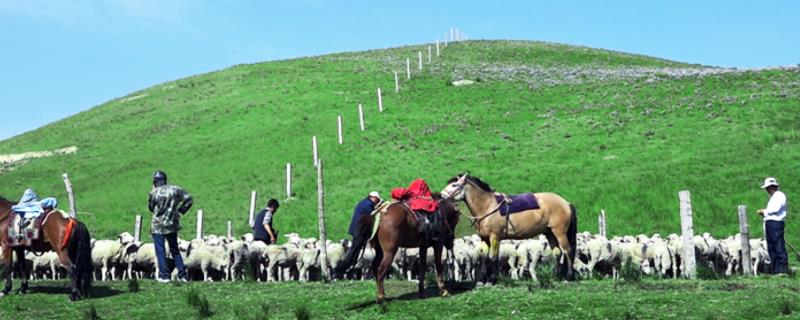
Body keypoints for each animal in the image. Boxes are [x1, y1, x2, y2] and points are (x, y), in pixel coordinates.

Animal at [440, 174, 580, 284]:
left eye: (454, 185)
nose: (441, 196)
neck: (487, 206)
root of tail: (566, 203)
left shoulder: (495, 237)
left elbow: (492, 258)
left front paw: (492, 280)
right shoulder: (484, 238)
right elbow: (484, 257)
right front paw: (482, 280)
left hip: (559, 232)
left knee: (568, 251)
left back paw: (569, 276)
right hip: (550, 233)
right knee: (558, 253)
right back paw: (557, 276)